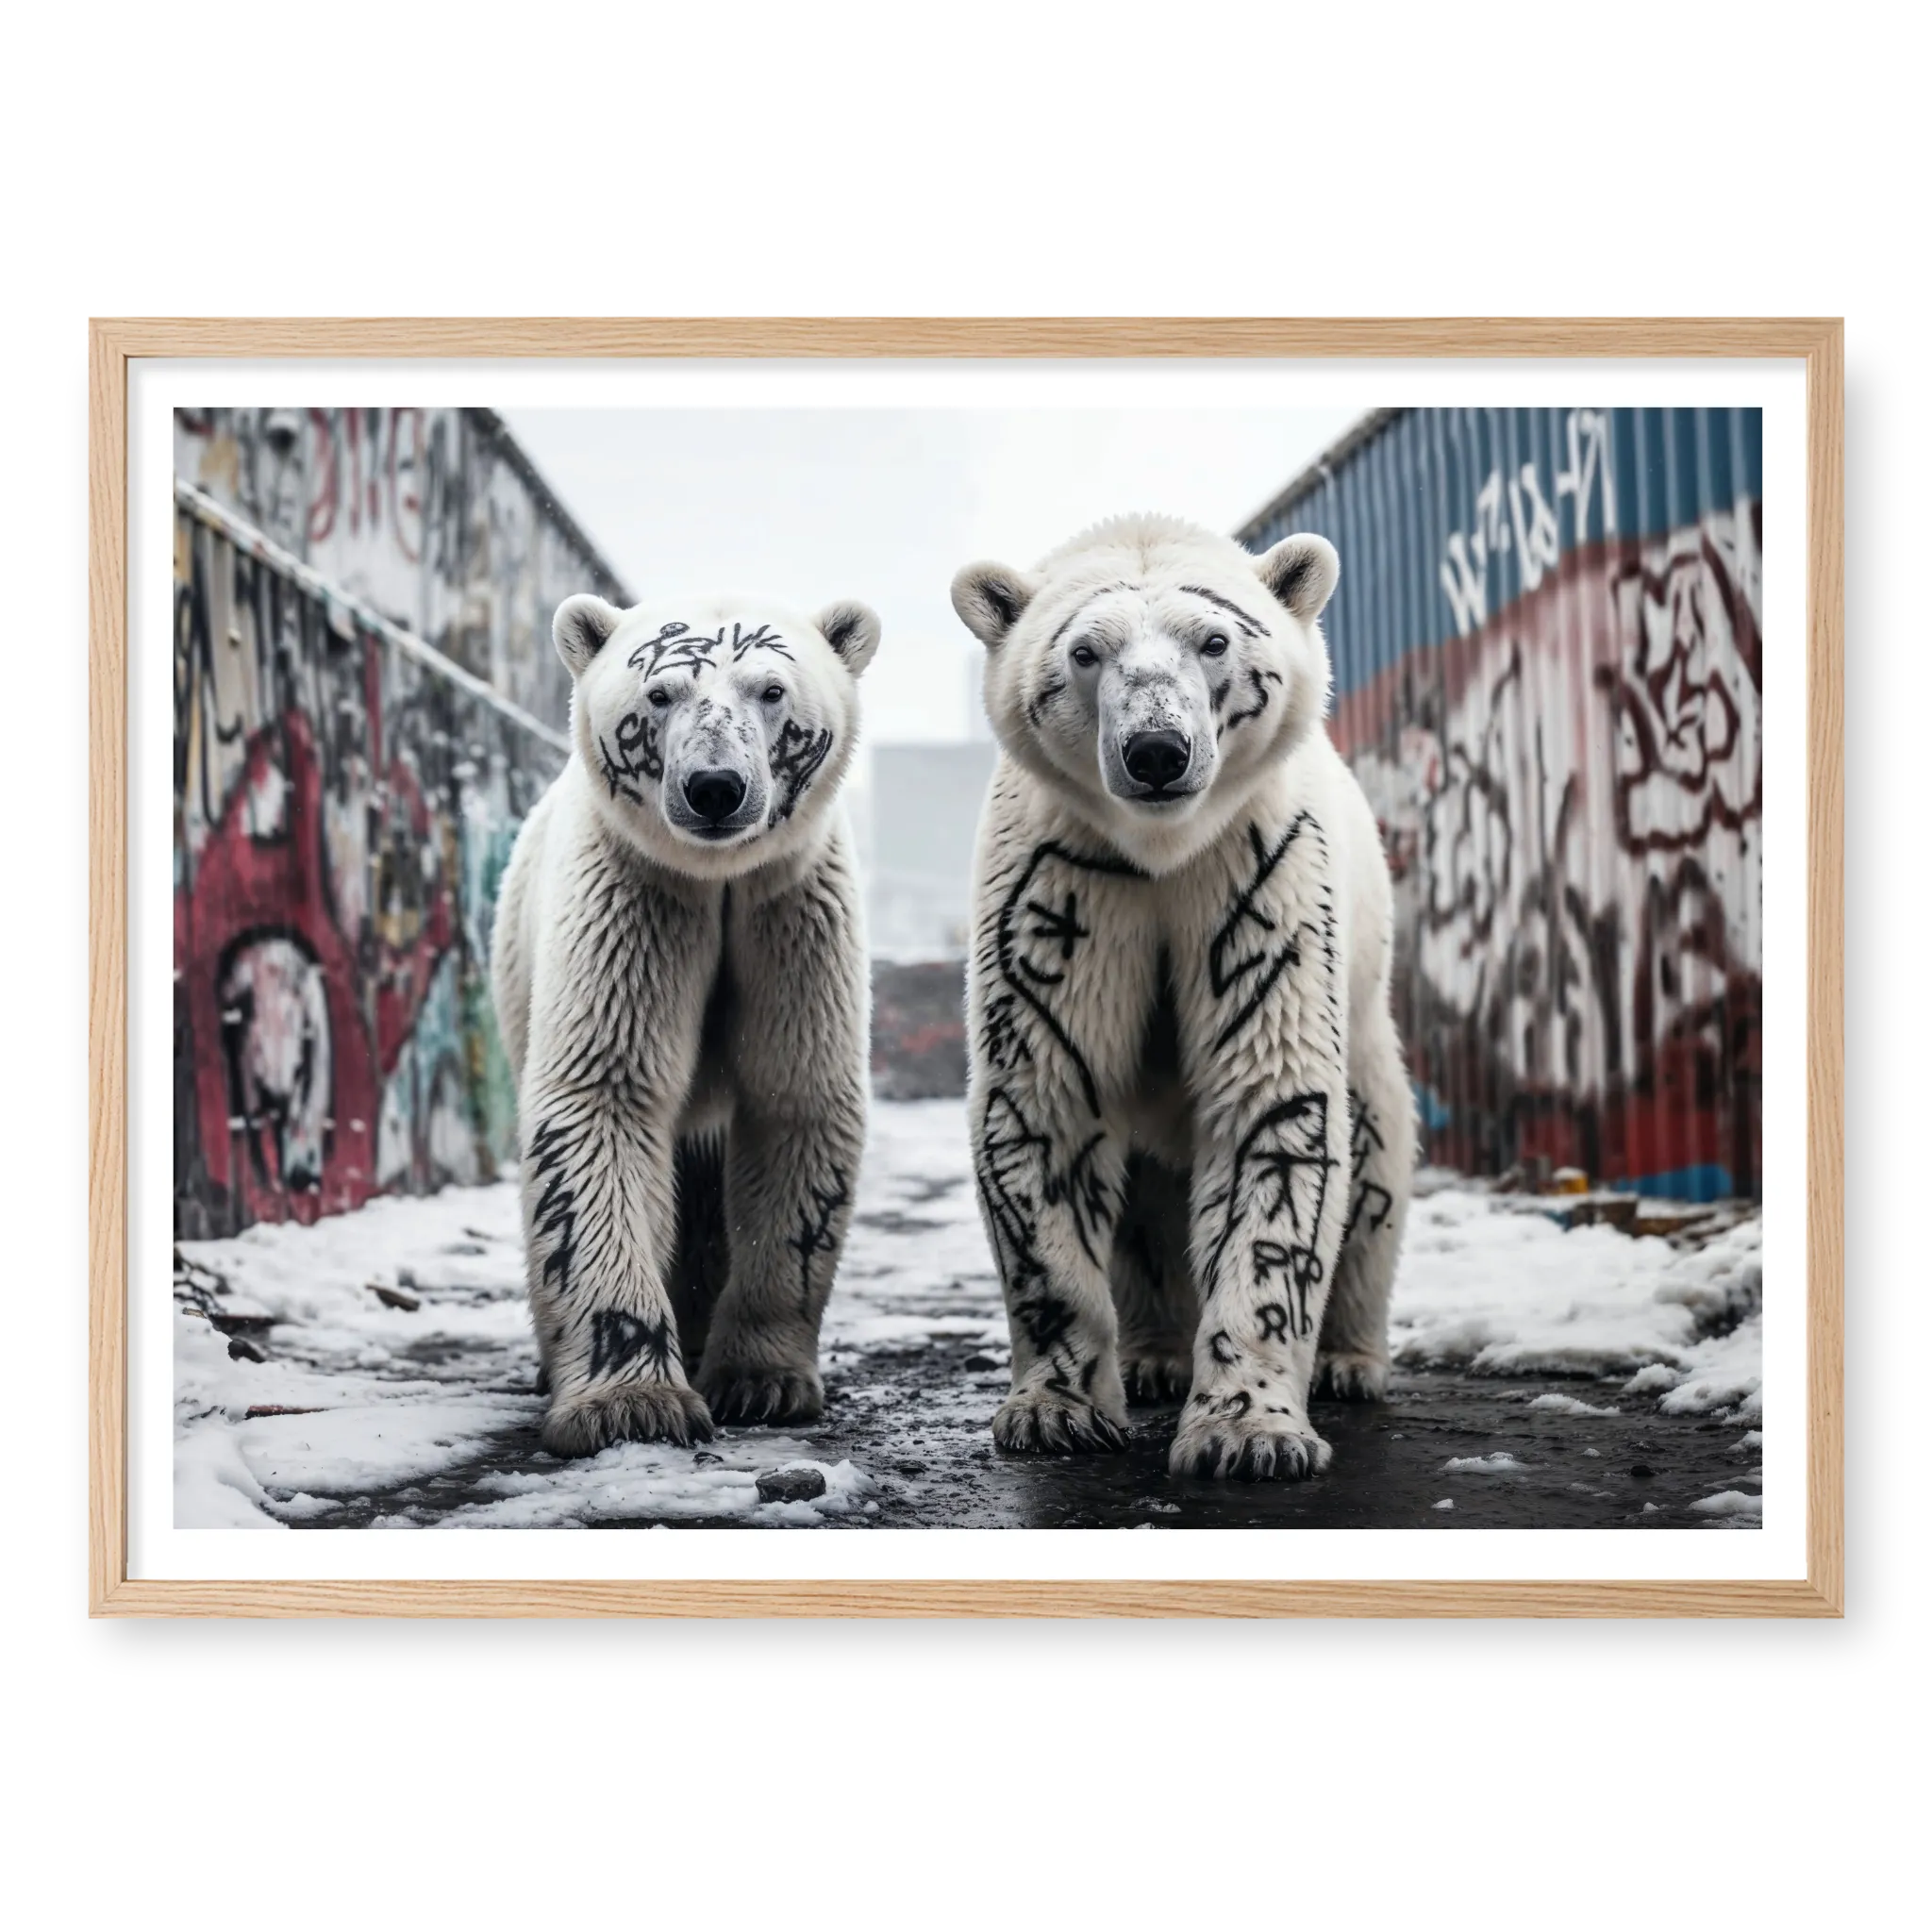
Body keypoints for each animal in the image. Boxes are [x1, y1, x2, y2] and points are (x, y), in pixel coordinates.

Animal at [490, 591, 880, 1456]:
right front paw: (630, 1402)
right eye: (660, 693)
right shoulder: (635, 894)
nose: (714, 788)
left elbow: (794, 1100)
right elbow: (601, 1098)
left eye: (771, 690)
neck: (719, 878)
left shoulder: (790, 911)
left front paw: (763, 1382)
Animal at [950, 514, 1414, 1482]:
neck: (1162, 849)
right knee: (1142, 1210)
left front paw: (1251, 1433)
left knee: (1376, 1162)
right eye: (1086, 651)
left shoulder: (1258, 871)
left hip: (1369, 1030)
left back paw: (1351, 1360)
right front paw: (1055, 1412)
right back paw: (1154, 1356)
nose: (1157, 751)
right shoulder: (1063, 884)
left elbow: (1274, 1110)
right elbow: (1047, 1099)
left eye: (1214, 641)